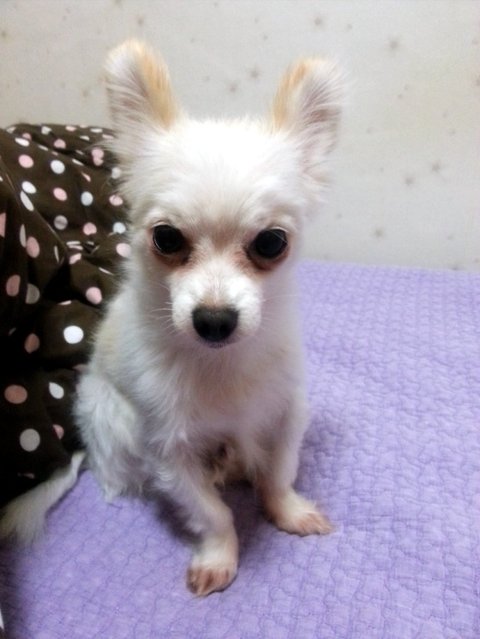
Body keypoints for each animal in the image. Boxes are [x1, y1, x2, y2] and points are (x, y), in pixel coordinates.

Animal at [4, 40, 342, 596]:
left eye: (271, 243)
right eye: (167, 238)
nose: (214, 320)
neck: (220, 365)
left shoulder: (285, 413)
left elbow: (278, 474)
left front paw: (288, 511)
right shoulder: (169, 450)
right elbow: (213, 512)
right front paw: (220, 556)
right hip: (113, 422)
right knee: (119, 479)